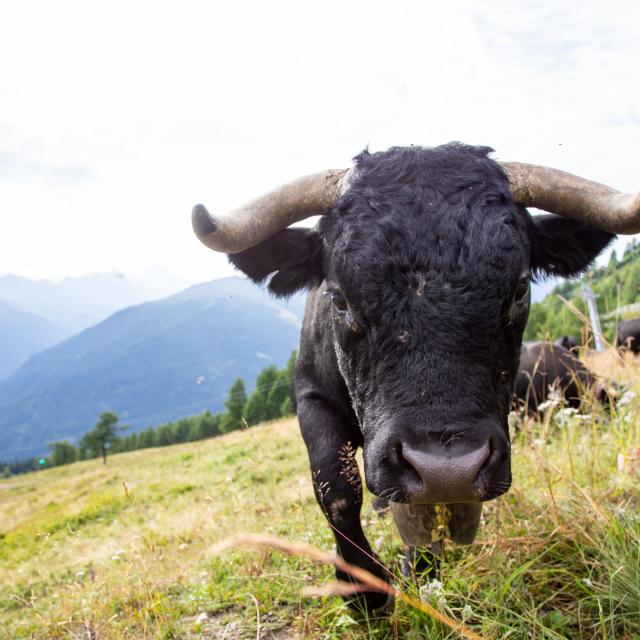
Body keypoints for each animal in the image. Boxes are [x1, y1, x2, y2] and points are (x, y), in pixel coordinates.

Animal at [194, 142, 636, 612]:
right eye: (339, 298)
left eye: (519, 289)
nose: (448, 469)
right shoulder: (311, 397)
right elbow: (336, 488)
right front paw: (363, 590)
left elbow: (428, 512)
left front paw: (420, 570)